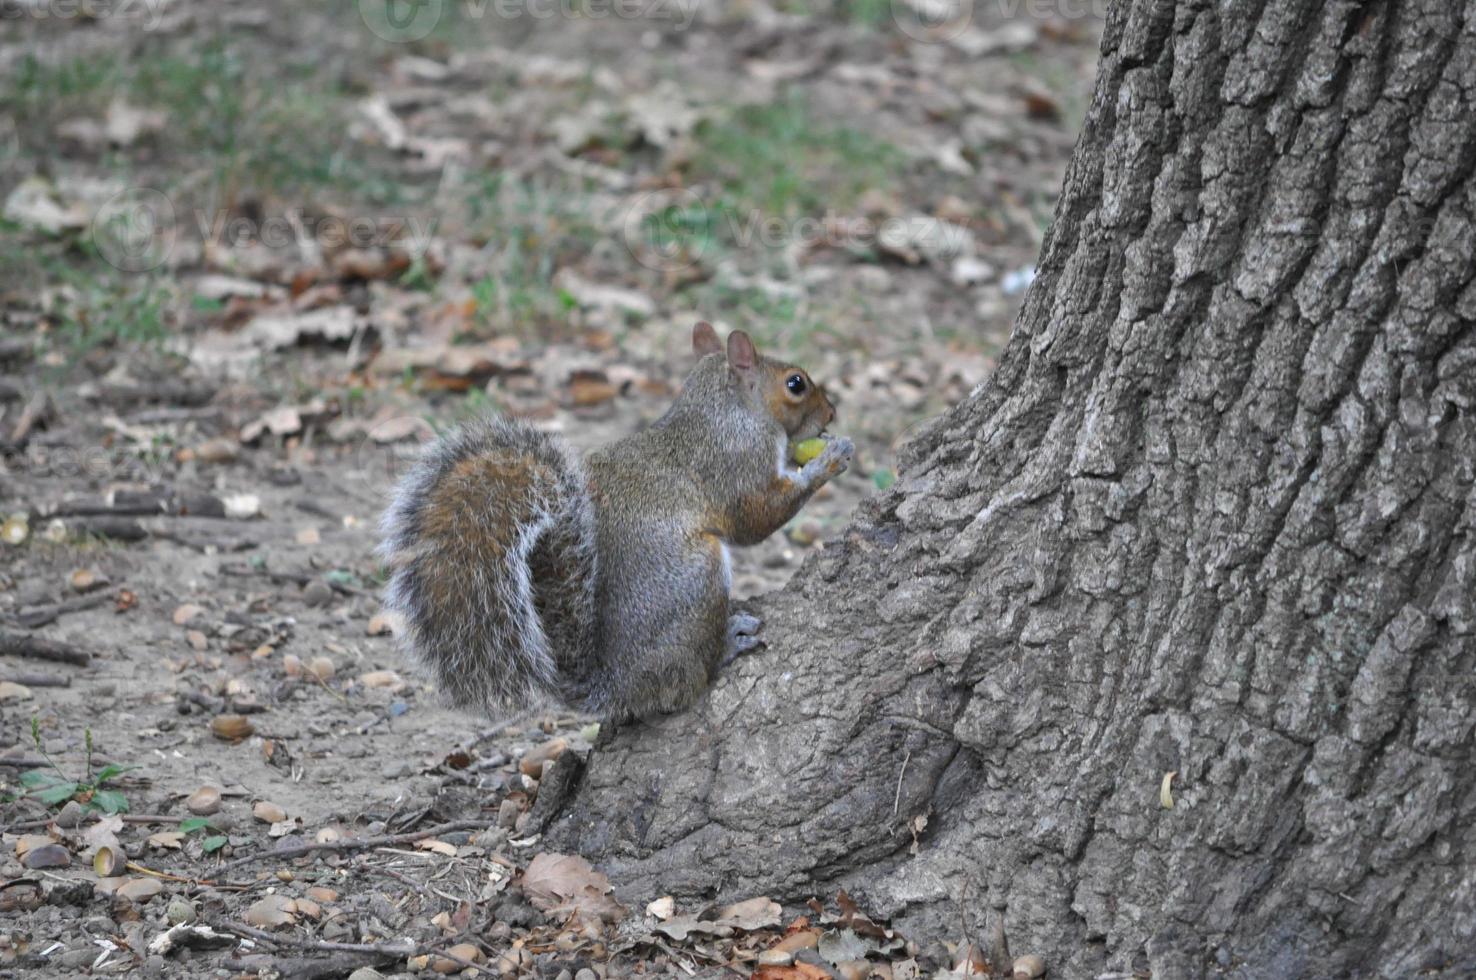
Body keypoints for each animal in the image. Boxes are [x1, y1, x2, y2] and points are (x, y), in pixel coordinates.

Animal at [374, 321, 856, 720]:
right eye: (796, 384)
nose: (832, 413)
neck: (723, 409)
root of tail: (615, 689)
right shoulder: (735, 463)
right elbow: (755, 518)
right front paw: (827, 462)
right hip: (699, 577)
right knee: (685, 683)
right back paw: (727, 645)